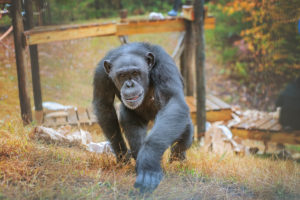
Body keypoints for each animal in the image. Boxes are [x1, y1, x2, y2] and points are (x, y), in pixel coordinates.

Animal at [92, 42, 193, 192]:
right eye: (122, 75)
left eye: (135, 73)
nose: (130, 84)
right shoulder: (101, 74)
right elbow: (104, 105)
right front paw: (122, 156)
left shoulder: (165, 67)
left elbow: (172, 101)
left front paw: (148, 162)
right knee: (131, 124)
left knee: (183, 129)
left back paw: (177, 159)